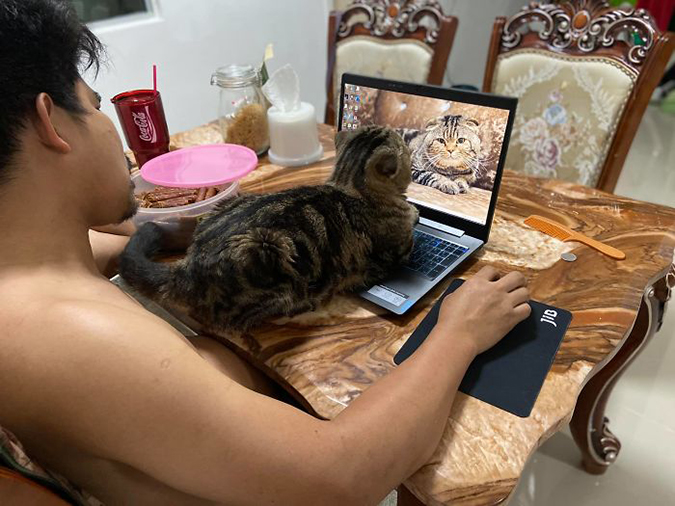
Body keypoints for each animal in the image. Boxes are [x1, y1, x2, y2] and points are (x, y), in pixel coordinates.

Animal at [119, 126, 420, 332]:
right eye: (406, 152)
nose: (411, 149)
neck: (349, 184)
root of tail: (186, 266)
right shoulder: (398, 252)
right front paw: (415, 214)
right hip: (268, 249)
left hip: (230, 203)